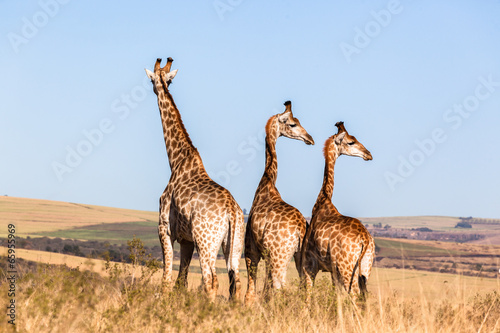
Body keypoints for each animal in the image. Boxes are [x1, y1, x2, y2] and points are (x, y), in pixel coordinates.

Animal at [144, 57, 245, 300]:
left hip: (206, 241)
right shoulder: (187, 239)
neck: (176, 160)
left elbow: (166, 279)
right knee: (236, 282)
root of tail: (231, 211)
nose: (155, 89)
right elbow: (181, 281)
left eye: (152, 80)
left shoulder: (165, 228)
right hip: (234, 245)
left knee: (211, 280)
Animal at [244, 100, 314, 304]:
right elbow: (264, 290)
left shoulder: (251, 250)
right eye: (293, 124)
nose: (310, 138)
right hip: (299, 258)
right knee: (304, 285)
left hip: (279, 256)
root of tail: (300, 229)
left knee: (278, 286)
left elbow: (252, 291)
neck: (268, 181)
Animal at [300, 120, 376, 298]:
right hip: (365, 269)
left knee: (354, 295)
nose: (369, 154)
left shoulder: (309, 265)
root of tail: (365, 240)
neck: (323, 200)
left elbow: (307, 297)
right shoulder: (332, 272)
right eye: (351, 142)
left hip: (346, 268)